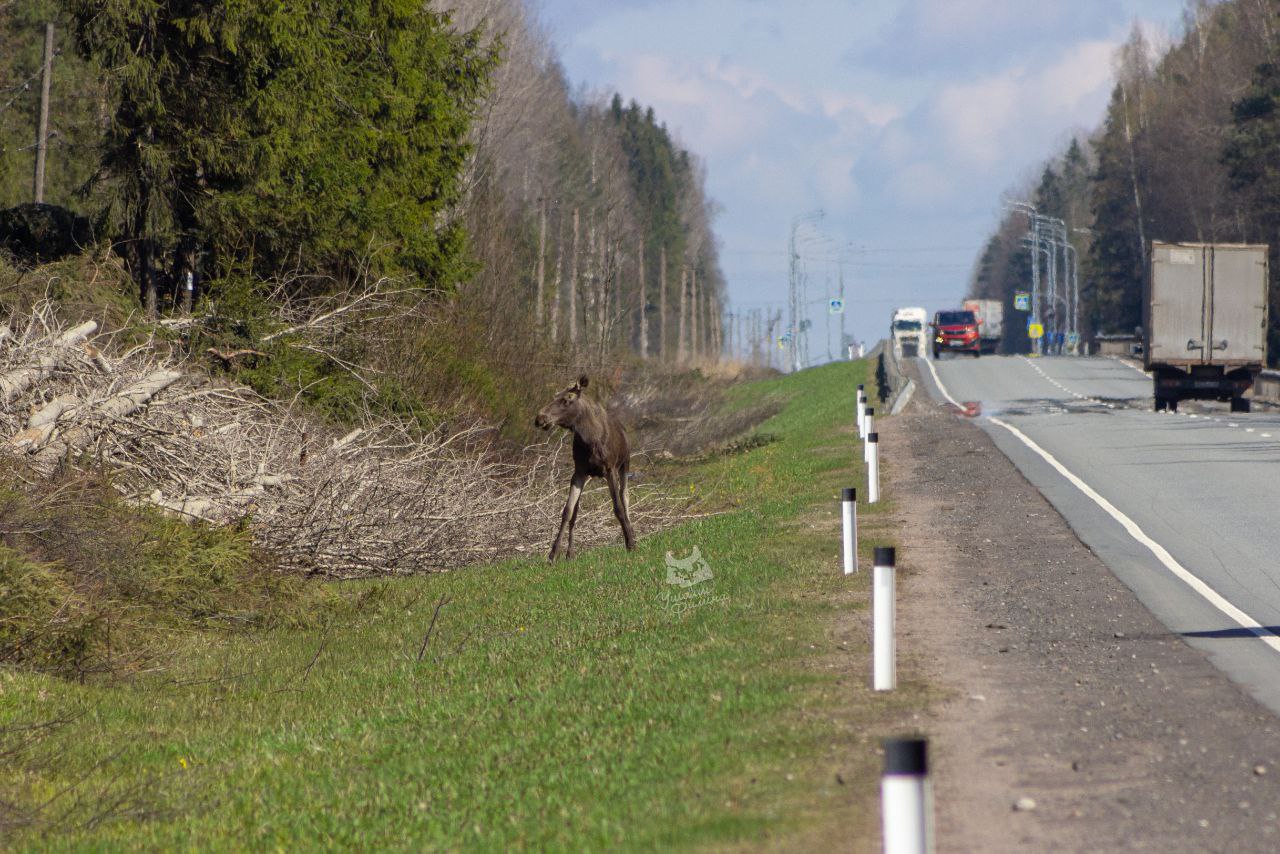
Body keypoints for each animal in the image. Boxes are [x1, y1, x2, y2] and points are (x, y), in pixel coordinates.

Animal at [535, 373, 634, 560]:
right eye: (554, 396)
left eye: (567, 399)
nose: (539, 418)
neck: (589, 439)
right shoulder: (579, 472)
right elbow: (567, 511)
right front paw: (553, 554)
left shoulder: (610, 469)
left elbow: (618, 507)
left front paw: (630, 543)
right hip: (588, 475)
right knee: (576, 512)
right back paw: (569, 553)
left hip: (625, 464)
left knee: (625, 498)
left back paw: (633, 534)